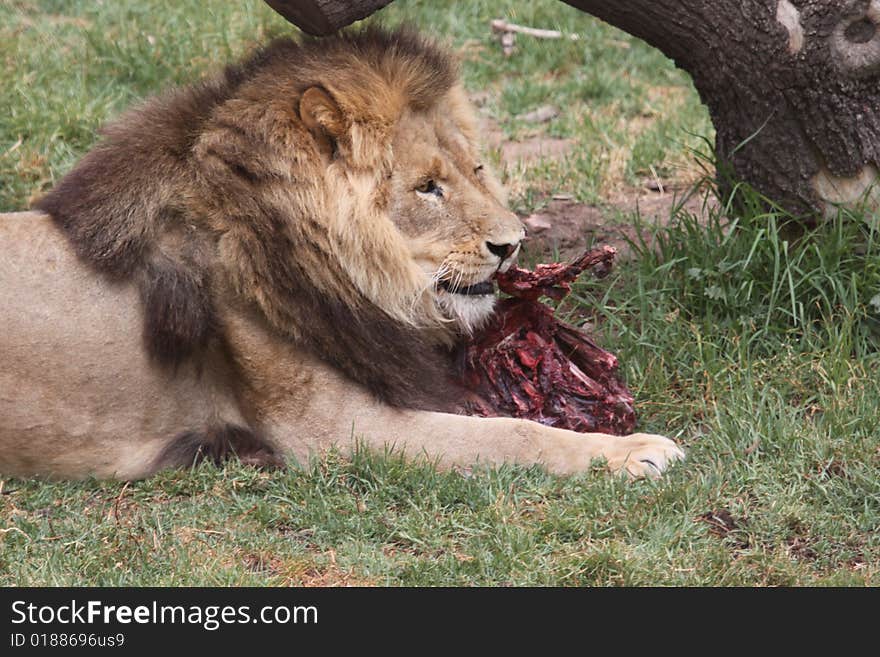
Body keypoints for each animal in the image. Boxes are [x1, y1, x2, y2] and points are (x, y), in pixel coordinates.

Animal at [0, 26, 688, 476]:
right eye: (427, 187)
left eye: (477, 170)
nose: (512, 244)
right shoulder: (333, 433)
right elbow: (512, 437)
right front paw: (634, 451)